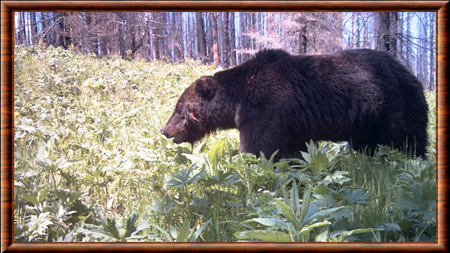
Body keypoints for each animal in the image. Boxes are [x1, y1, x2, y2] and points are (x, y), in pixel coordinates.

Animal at [160, 49, 428, 160]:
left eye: (180, 109)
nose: (164, 130)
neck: (236, 101)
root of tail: (410, 72)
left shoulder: (264, 109)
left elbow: (259, 149)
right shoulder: (294, 125)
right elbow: (295, 151)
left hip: (394, 104)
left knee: (407, 140)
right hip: (367, 122)